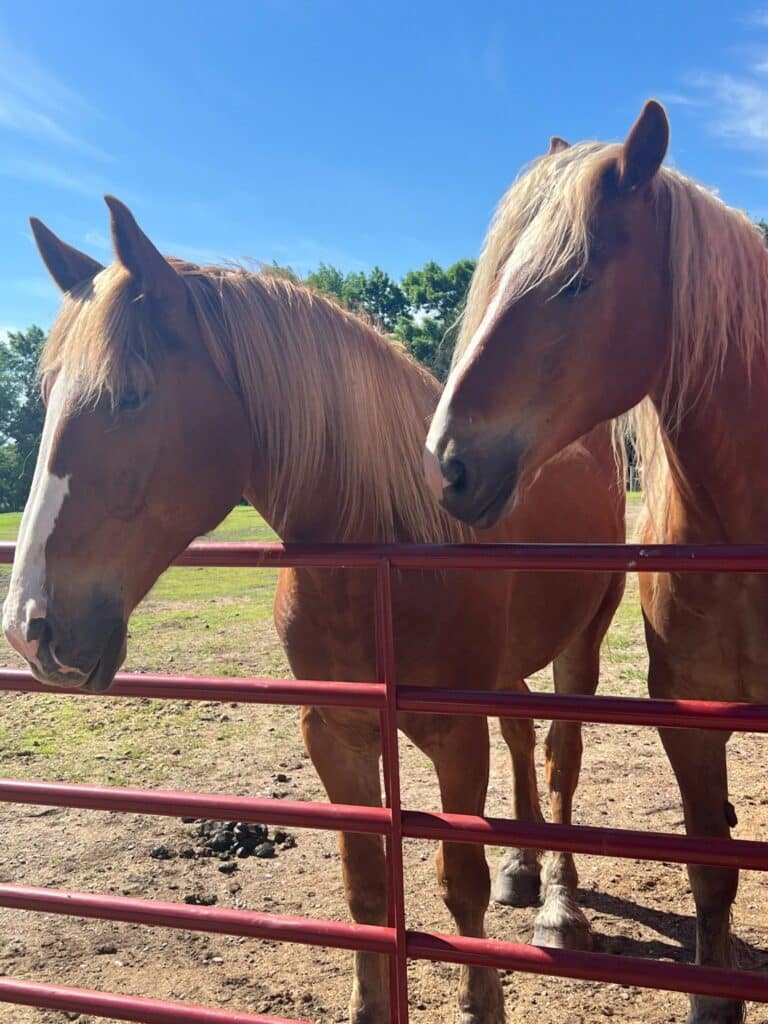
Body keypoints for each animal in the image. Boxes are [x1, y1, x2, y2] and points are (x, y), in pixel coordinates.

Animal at [2, 198, 624, 1024]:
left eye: (131, 394)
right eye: (46, 398)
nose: (31, 628)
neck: (384, 545)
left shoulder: (453, 736)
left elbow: (458, 885)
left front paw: (481, 1002)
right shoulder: (335, 732)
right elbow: (365, 890)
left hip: (581, 642)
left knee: (559, 757)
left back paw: (559, 904)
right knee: (524, 739)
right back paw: (522, 869)